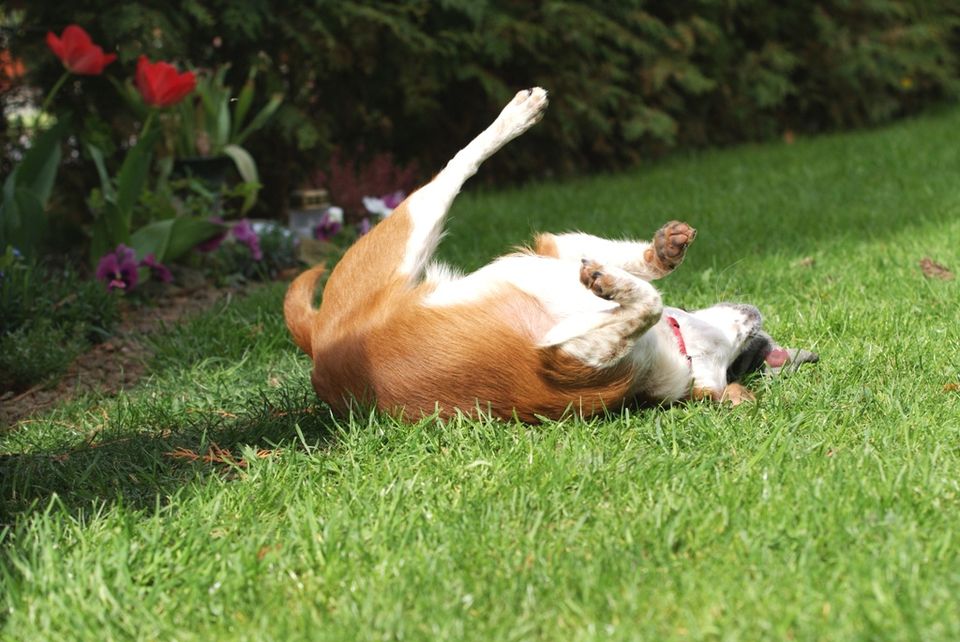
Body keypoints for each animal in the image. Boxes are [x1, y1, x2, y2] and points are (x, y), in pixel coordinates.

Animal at [286, 89, 816, 420]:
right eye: (746, 361)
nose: (757, 317)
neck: (679, 352)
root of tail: (318, 344)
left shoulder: (566, 357)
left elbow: (647, 302)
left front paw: (614, 284)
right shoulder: (553, 251)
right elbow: (637, 273)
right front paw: (661, 251)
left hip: (396, 245)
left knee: (452, 169)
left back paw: (516, 114)